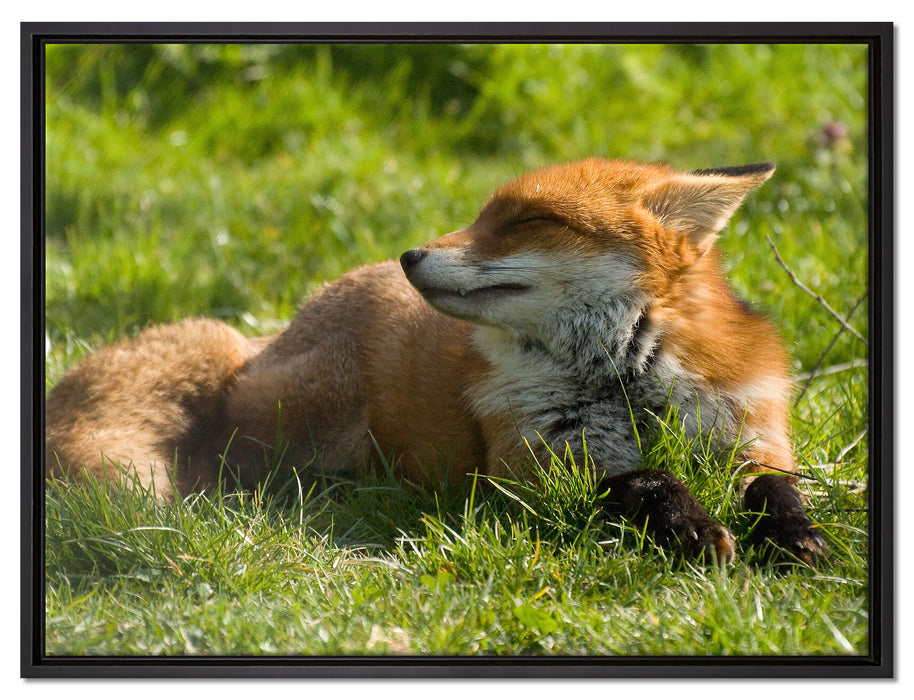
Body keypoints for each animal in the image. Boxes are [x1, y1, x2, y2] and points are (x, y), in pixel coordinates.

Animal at [45, 157, 826, 565]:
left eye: (527, 221)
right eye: (481, 216)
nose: (410, 254)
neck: (626, 385)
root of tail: (268, 336)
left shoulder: (750, 434)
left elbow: (776, 489)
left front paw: (798, 537)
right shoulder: (532, 471)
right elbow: (645, 481)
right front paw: (692, 527)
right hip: (310, 425)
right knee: (227, 464)